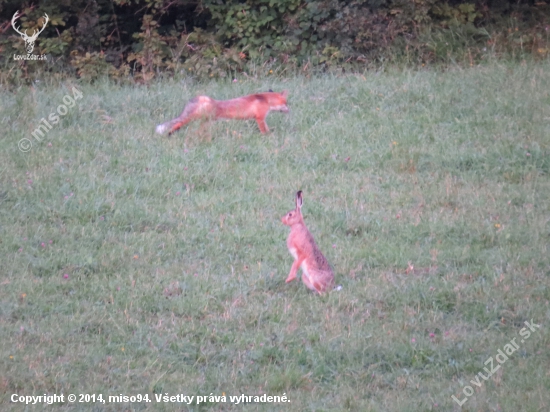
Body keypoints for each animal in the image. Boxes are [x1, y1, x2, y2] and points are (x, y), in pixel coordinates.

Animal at [156, 90, 288, 135]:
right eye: (286, 103)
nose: (289, 110)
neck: (265, 100)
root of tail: (205, 98)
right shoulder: (259, 118)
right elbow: (264, 131)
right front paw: (267, 137)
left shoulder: (261, 119)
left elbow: (268, 129)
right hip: (194, 118)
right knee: (178, 123)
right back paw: (169, 133)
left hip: (205, 122)